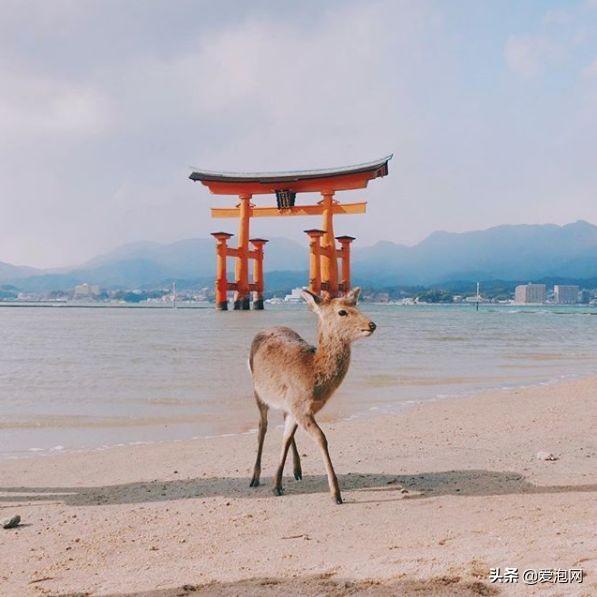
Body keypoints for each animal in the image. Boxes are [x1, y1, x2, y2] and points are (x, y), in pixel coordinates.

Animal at [249, 288, 374, 502]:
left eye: (356, 305)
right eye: (342, 312)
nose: (371, 325)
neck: (311, 373)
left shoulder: (298, 407)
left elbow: (287, 437)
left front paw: (277, 484)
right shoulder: (299, 407)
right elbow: (321, 438)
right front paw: (336, 494)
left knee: (283, 426)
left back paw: (297, 470)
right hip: (258, 392)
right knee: (262, 426)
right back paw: (254, 478)